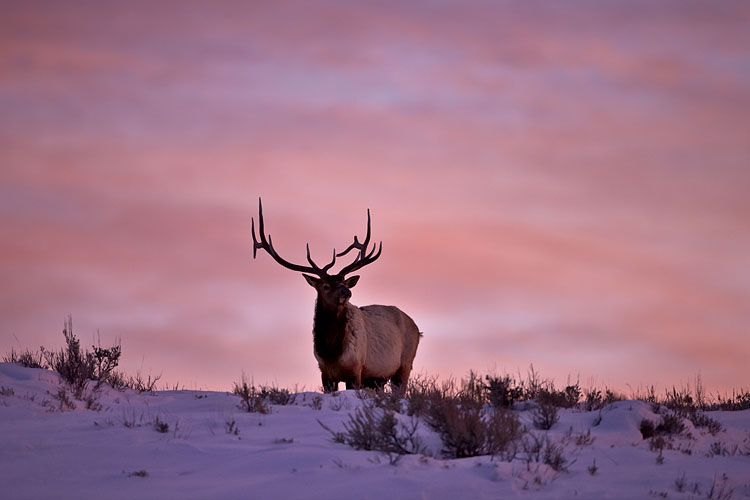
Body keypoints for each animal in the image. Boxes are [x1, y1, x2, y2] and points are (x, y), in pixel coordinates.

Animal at [250, 198, 420, 390]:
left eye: (344, 282)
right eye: (325, 286)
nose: (346, 291)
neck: (332, 353)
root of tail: (417, 328)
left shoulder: (356, 370)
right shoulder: (325, 374)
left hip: (404, 365)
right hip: (377, 379)